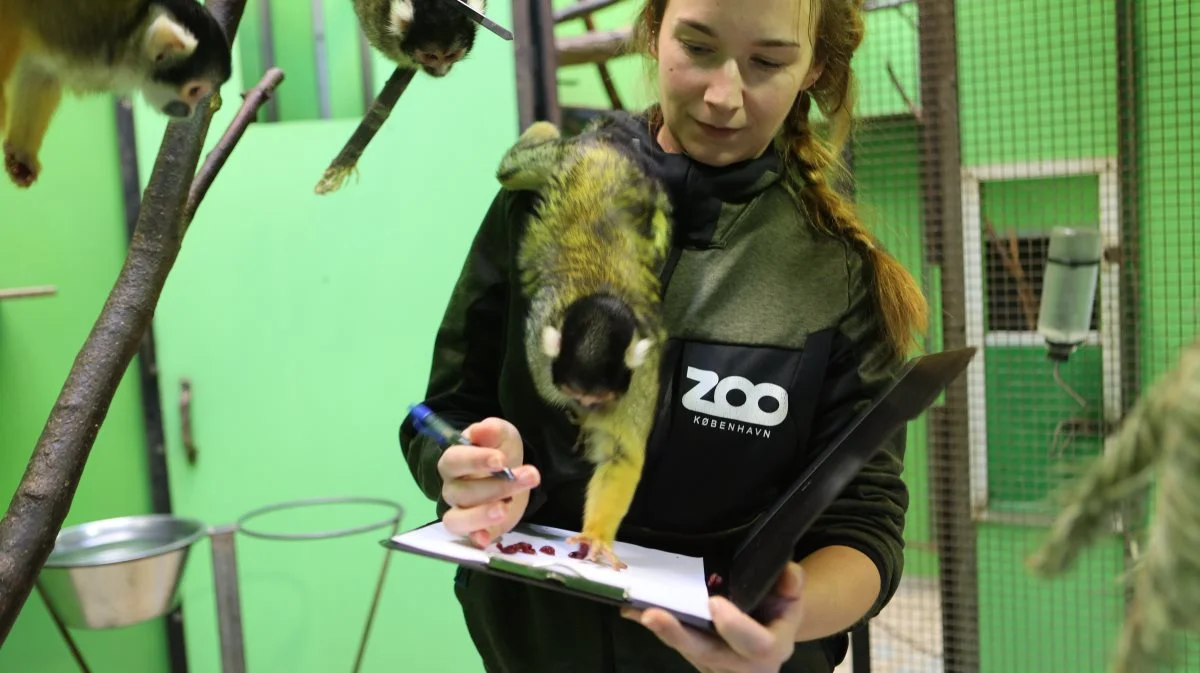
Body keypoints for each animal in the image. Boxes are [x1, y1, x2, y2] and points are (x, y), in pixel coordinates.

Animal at [0, 0, 232, 187]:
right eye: (194, 91)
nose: (189, 112)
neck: (128, 38)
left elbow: (41, 72)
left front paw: (22, 155)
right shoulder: (78, 27)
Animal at [492, 118, 672, 568]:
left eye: (601, 397)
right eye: (579, 394)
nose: (589, 408)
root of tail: (602, 149)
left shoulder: (639, 380)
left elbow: (622, 453)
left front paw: (596, 537)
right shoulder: (540, 353)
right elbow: (548, 390)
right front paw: (575, 419)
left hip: (645, 184)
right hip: (564, 160)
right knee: (512, 169)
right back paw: (541, 128)